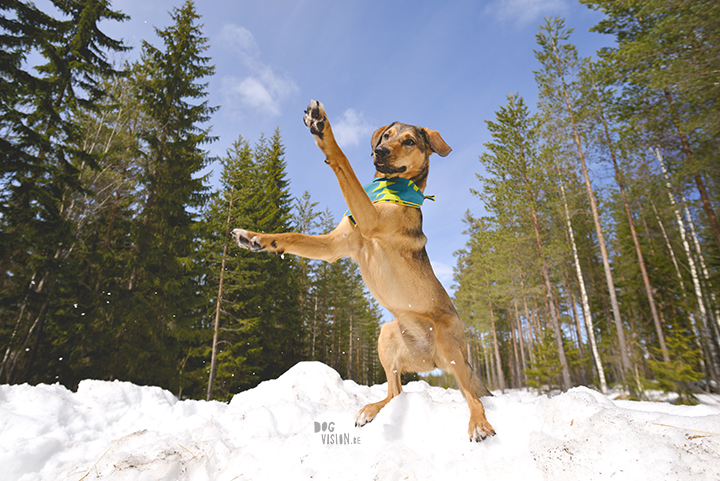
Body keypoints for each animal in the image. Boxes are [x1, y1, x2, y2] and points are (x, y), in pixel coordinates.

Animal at [233, 99, 498, 440]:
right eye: (386, 136)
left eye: (409, 141)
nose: (380, 152)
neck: (390, 189)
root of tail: (434, 358)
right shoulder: (335, 246)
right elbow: (290, 237)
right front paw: (255, 239)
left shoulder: (369, 220)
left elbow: (343, 161)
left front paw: (323, 131)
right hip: (388, 337)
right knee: (396, 392)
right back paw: (371, 410)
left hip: (450, 345)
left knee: (472, 397)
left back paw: (478, 423)